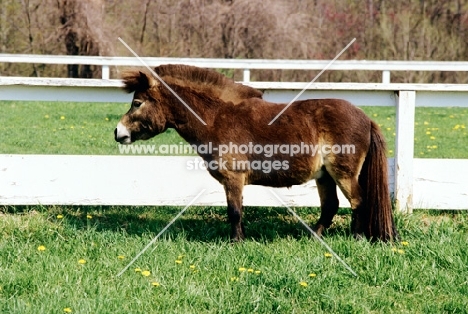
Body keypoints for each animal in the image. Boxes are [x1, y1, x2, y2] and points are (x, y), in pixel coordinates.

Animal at [115, 63, 396, 240]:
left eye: (137, 103)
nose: (118, 132)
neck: (218, 117)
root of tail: (365, 118)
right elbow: (238, 210)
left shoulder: (233, 178)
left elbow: (234, 211)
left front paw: (235, 242)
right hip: (325, 176)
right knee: (330, 207)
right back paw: (314, 238)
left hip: (343, 174)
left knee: (358, 202)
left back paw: (356, 237)